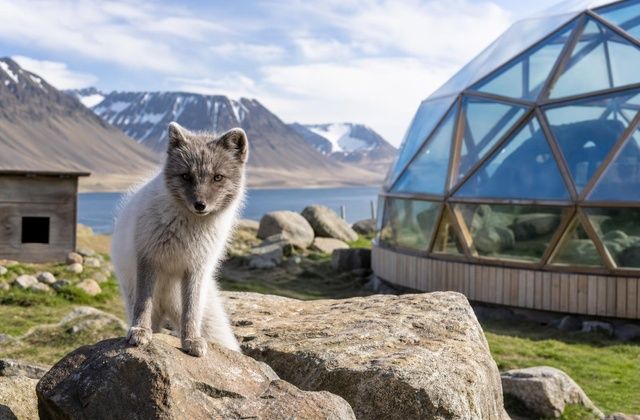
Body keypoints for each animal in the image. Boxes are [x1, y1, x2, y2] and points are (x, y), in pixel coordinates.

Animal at [111, 121, 248, 356]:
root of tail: (167, 303)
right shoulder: (148, 258)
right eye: (185, 176)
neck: (188, 229)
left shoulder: (196, 268)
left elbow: (191, 312)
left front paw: (191, 340)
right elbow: (143, 304)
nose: (200, 205)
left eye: (217, 177)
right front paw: (140, 331)